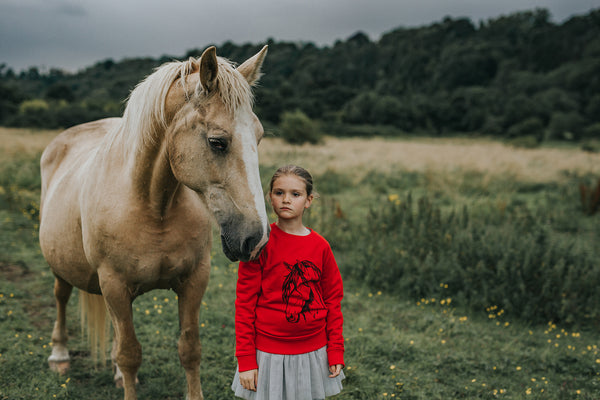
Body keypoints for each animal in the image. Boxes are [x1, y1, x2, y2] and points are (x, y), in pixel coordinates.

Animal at [38, 44, 268, 400]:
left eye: (259, 137)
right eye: (217, 142)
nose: (255, 238)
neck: (152, 205)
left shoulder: (194, 280)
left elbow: (189, 349)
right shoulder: (115, 285)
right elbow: (130, 355)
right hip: (62, 266)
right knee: (61, 297)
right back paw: (59, 355)